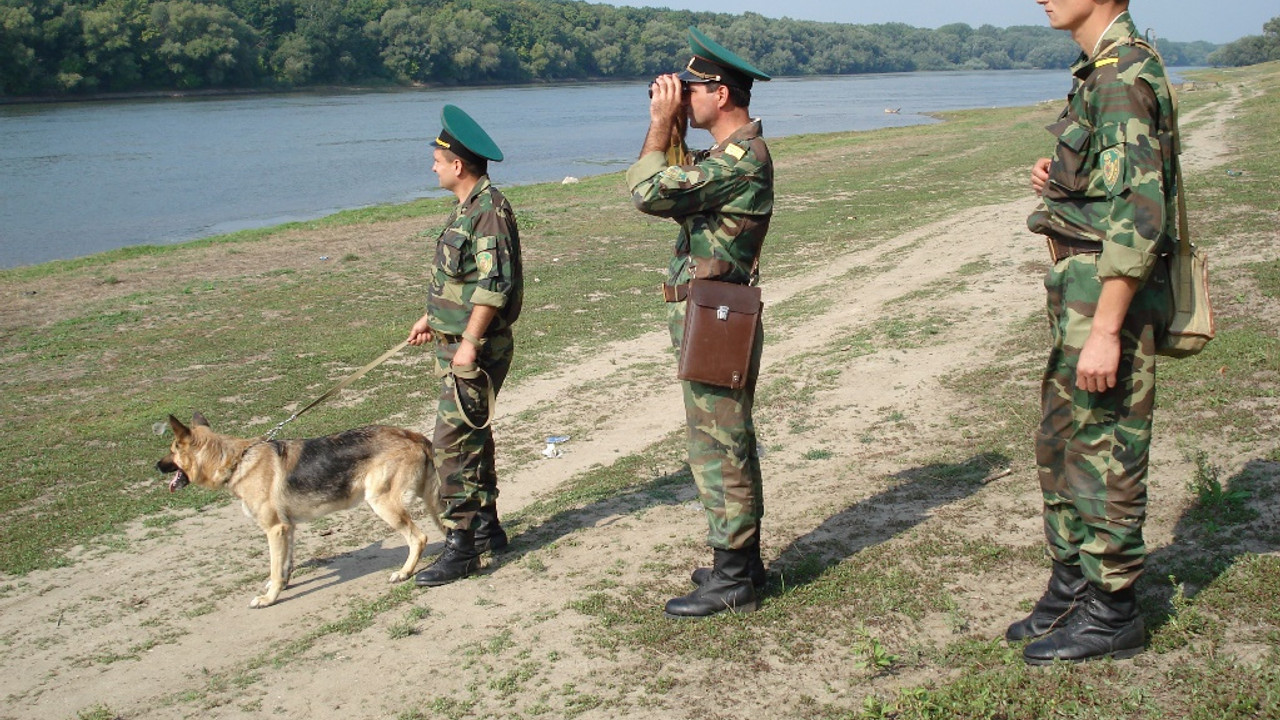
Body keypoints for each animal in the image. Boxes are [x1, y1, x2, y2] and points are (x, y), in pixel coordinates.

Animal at [156, 412, 440, 607]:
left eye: (172, 450)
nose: (156, 466)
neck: (236, 461)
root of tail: (413, 435)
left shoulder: (274, 529)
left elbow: (275, 566)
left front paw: (269, 598)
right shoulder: (287, 528)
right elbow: (285, 565)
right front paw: (281, 585)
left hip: (383, 504)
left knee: (419, 538)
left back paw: (404, 572)